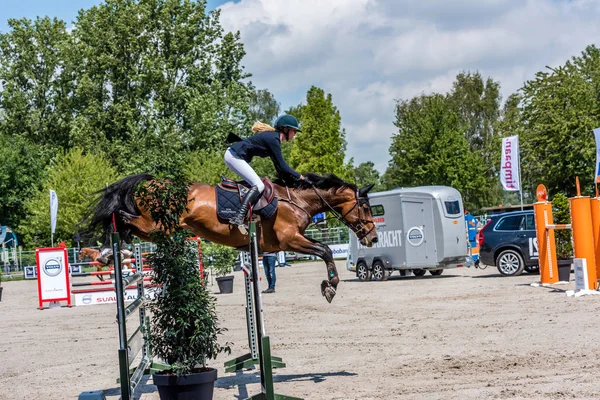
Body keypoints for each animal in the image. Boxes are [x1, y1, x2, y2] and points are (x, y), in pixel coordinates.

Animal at [84, 173, 378, 304]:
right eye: (365, 207)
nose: (373, 238)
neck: (297, 200)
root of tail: (150, 182)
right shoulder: (290, 240)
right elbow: (326, 250)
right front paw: (330, 287)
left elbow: (324, 249)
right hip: (157, 225)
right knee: (121, 216)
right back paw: (109, 252)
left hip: (157, 229)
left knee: (126, 222)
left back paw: (112, 253)